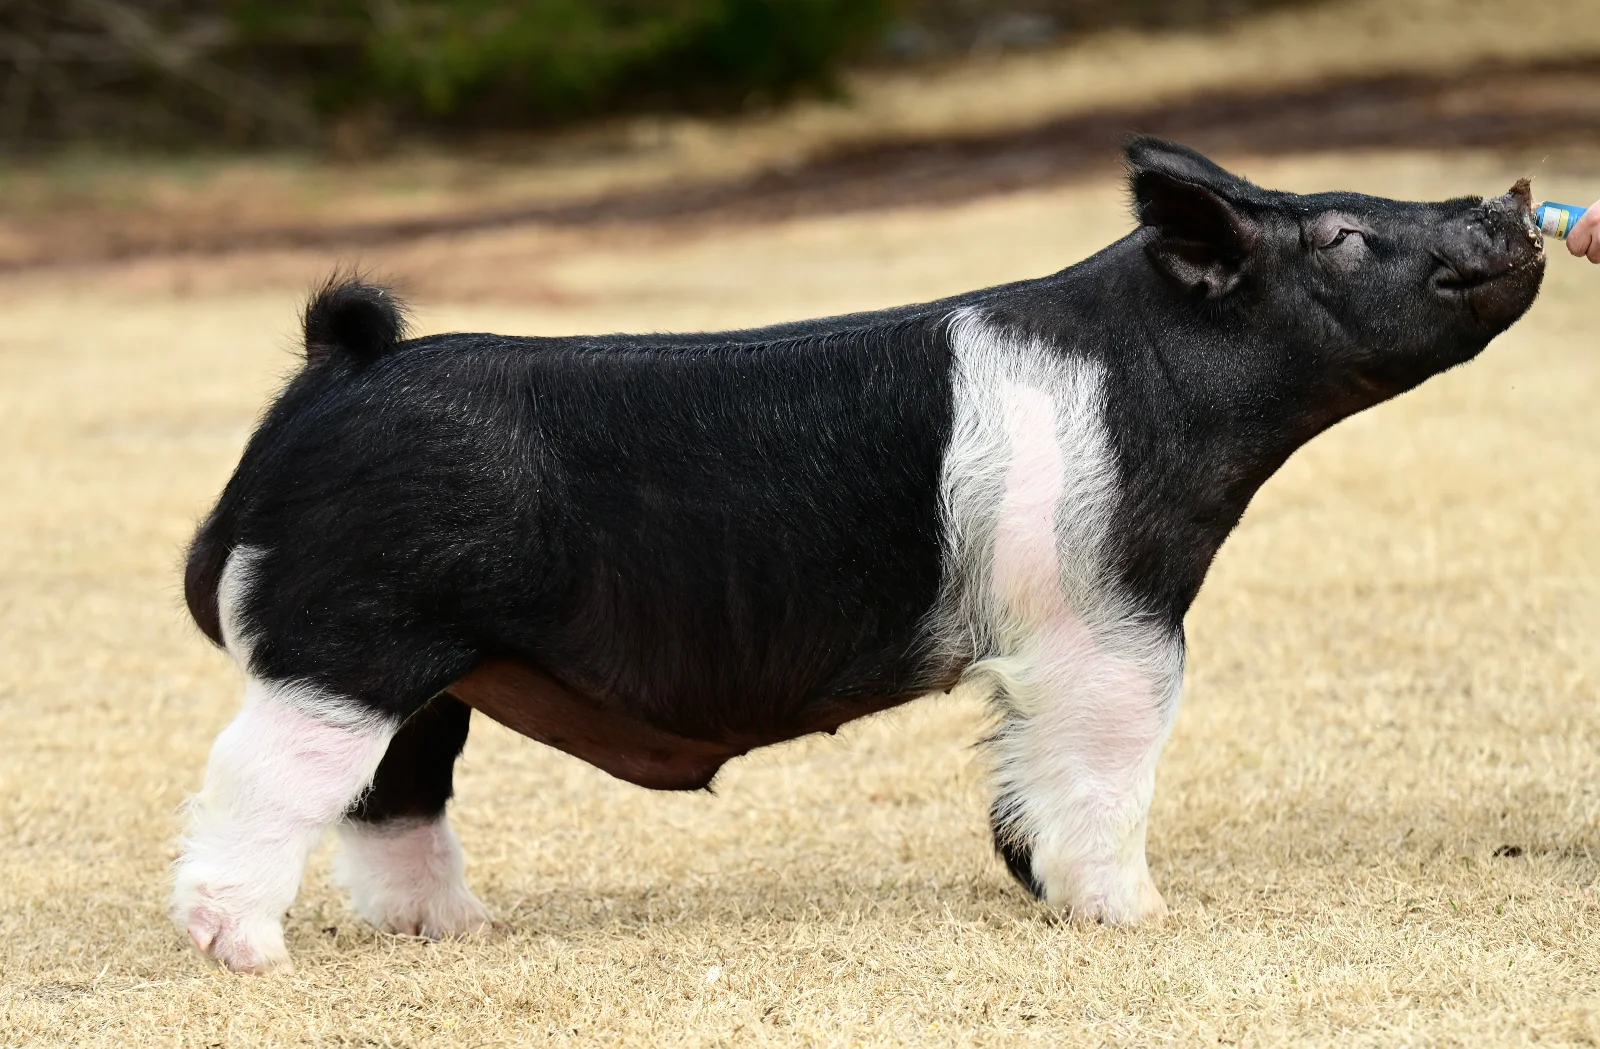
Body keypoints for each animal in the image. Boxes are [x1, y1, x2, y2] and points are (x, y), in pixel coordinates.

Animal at [174, 138, 1544, 972]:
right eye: (1336, 235)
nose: (1517, 196)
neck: (1163, 387)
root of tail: (335, 372)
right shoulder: (1104, 617)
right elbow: (1112, 759)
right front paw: (1135, 915)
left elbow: (1024, 766)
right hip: (349, 640)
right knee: (256, 779)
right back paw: (245, 949)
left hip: (433, 670)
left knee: (392, 798)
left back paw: (459, 931)